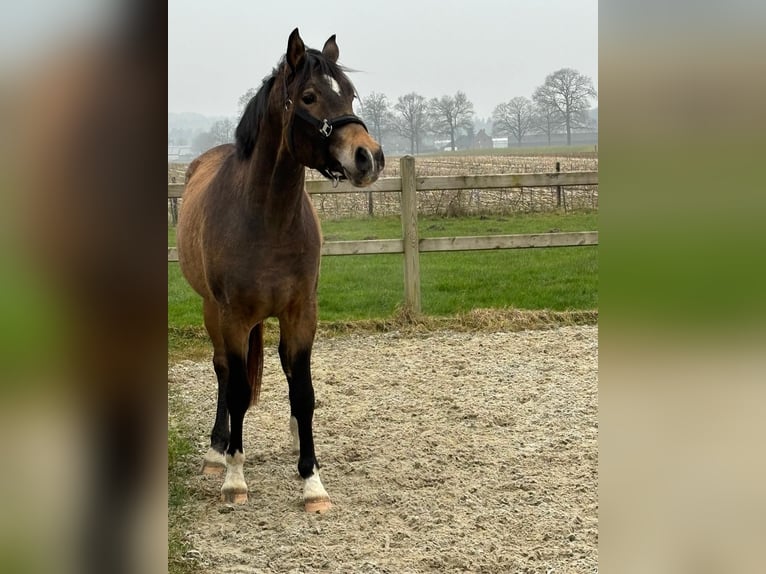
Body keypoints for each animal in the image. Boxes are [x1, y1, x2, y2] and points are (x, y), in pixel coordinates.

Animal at [178, 27, 388, 516]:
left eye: (349, 93)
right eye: (309, 96)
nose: (368, 157)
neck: (266, 218)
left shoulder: (301, 312)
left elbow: (304, 391)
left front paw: (312, 480)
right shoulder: (234, 317)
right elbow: (237, 389)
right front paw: (235, 477)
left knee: (285, 369)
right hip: (212, 313)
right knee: (223, 372)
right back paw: (217, 451)